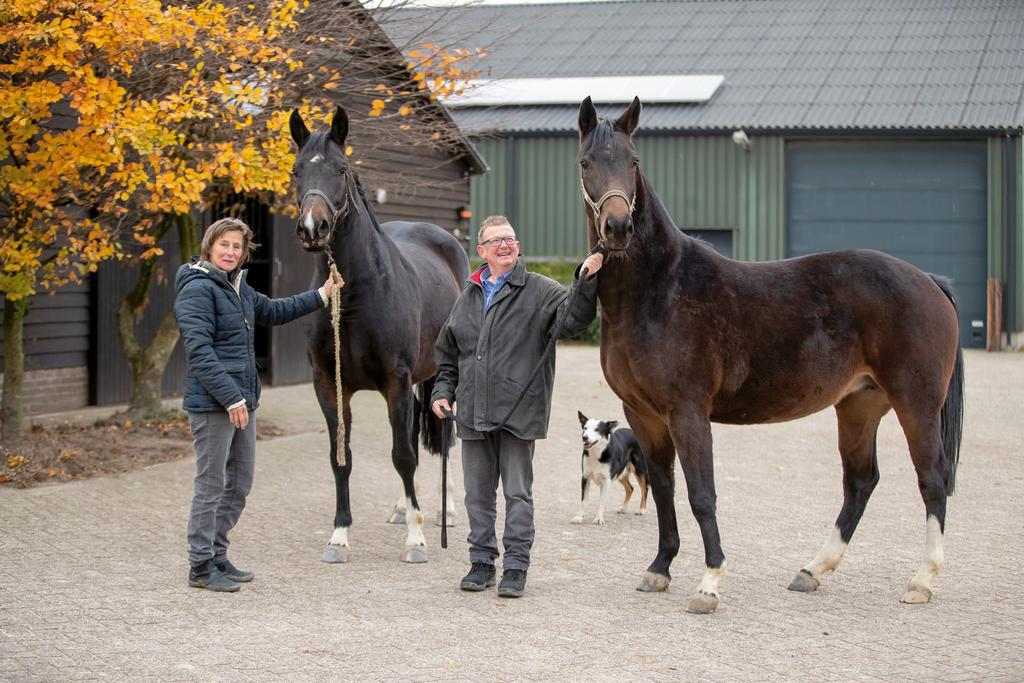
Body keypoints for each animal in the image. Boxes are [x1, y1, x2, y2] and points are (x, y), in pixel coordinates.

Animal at [290, 107, 468, 565]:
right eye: (296, 171)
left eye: (342, 169)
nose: (313, 229)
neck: (356, 294)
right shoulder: (328, 386)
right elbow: (342, 458)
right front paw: (339, 537)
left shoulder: (396, 382)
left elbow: (403, 455)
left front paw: (416, 540)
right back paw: (403, 507)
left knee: (445, 436)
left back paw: (445, 510)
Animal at [581, 96, 962, 614]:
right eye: (586, 162)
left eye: (633, 161)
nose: (618, 227)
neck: (659, 289)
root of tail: (929, 280)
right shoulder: (643, 413)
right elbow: (662, 488)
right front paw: (660, 569)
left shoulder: (687, 412)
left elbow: (702, 493)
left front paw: (709, 582)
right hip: (860, 406)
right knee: (861, 481)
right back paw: (812, 570)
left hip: (915, 404)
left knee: (932, 480)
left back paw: (921, 580)